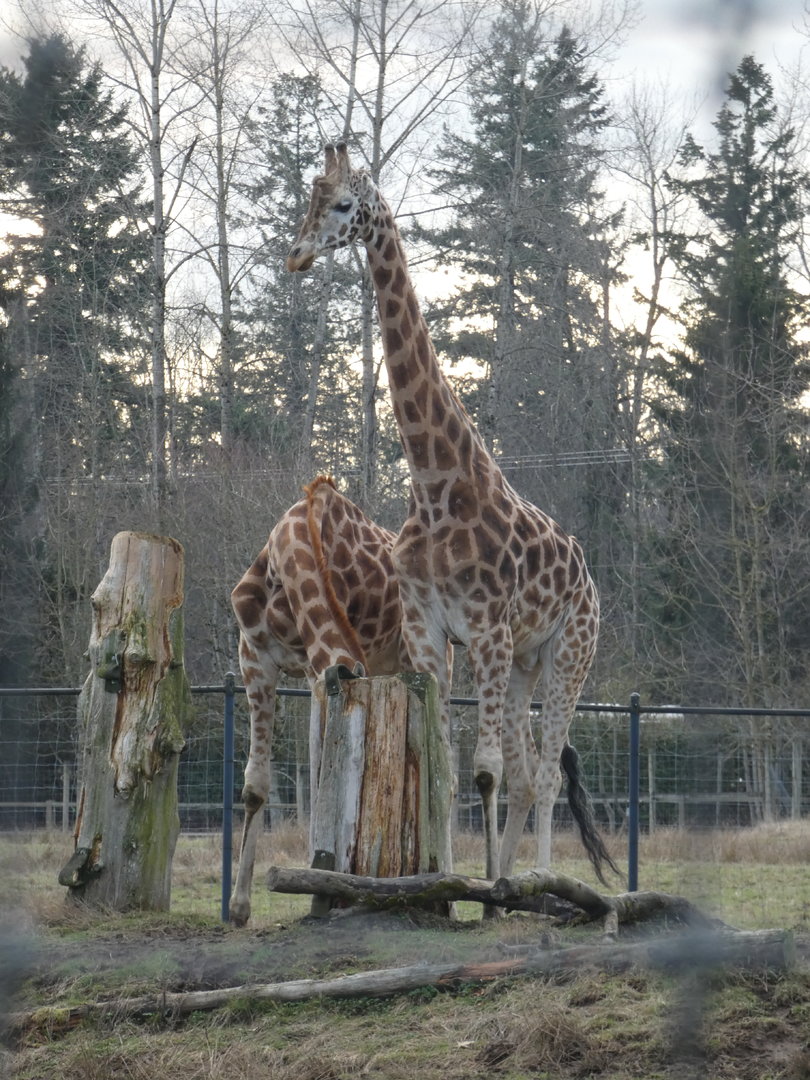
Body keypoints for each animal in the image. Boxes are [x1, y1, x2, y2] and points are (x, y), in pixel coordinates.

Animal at [288, 143, 619, 885]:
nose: (295, 256)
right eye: (309, 196)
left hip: (569, 651)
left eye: (344, 204)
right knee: (527, 774)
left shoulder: (487, 630)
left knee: (544, 774)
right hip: (525, 659)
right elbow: (441, 764)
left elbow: (485, 772)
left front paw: (483, 886)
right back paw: (507, 880)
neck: (437, 486)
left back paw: (535, 882)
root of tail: (589, 578)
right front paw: (444, 878)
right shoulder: (429, 631)